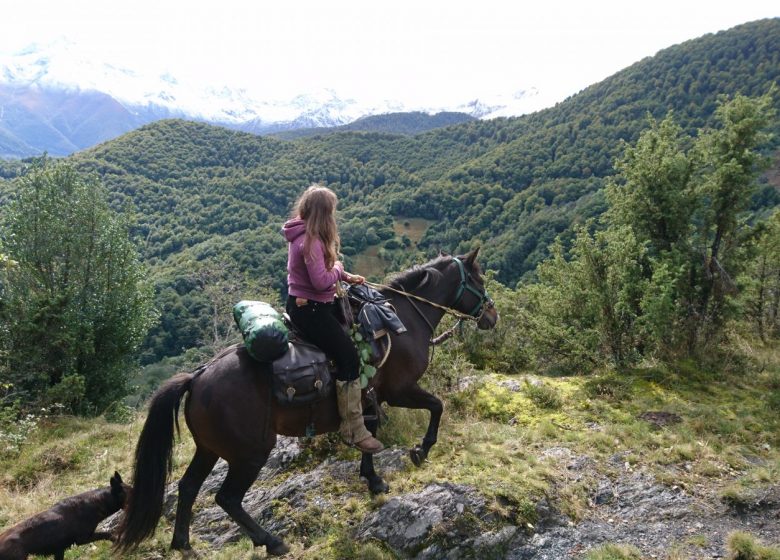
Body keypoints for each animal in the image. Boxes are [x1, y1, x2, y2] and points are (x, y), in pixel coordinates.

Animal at [116, 249, 500, 556]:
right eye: (479, 279)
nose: (492, 316)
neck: (402, 318)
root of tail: (198, 376)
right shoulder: (401, 389)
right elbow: (436, 406)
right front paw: (421, 450)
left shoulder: (370, 396)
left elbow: (370, 430)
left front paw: (373, 479)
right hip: (250, 452)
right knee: (226, 498)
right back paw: (270, 541)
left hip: (209, 448)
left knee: (188, 487)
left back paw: (182, 543)